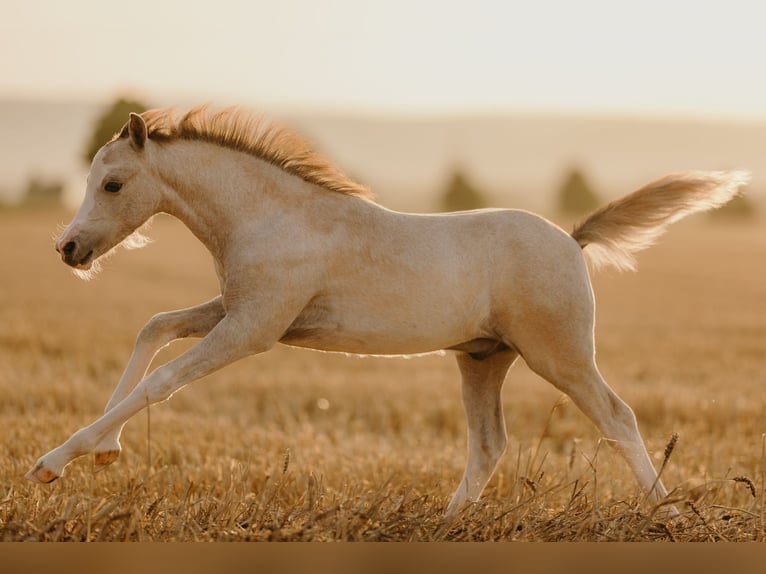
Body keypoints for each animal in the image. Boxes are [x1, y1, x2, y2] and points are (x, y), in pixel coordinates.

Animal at [26, 106, 749, 516]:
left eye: (112, 183)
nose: (68, 249)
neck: (271, 217)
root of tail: (573, 239)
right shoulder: (239, 311)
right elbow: (154, 328)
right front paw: (105, 451)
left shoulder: (252, 329)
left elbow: (161, 380)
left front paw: (52, 464)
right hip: (483, 359)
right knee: (489, 444)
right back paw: (446, 524)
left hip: (559, 355)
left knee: (617, 417)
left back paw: (666, 516)